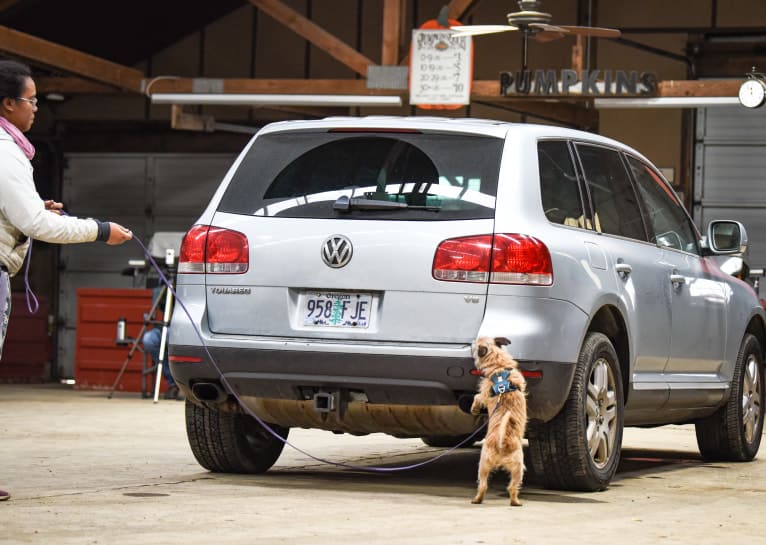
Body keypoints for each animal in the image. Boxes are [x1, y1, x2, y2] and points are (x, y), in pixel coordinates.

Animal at [472, 336, 524, 506]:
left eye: (476, 343)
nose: (471, 341)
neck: (499, 367)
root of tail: (503, 442)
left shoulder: (483, 395)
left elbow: (477, 397)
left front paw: (474, 409)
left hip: (484, 463)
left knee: (484, 485)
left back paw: (478, 500)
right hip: (516, 467)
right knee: (511, 487)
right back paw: (515, 502)